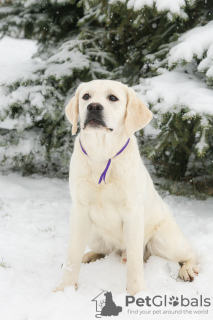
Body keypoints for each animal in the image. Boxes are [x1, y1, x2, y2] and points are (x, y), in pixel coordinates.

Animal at [54, 79, 200, 296]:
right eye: (86, 96)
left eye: (112, 98)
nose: (94, 107)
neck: (102, 154)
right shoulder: (79, 210)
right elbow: (72, 255)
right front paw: (66, 288)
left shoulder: (132, 214)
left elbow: (134, 260)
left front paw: (136, 292)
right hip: (95, 236)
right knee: (106, 250)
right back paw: (89, 256)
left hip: (165, 241)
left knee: (190, 253)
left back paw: (188, 269)